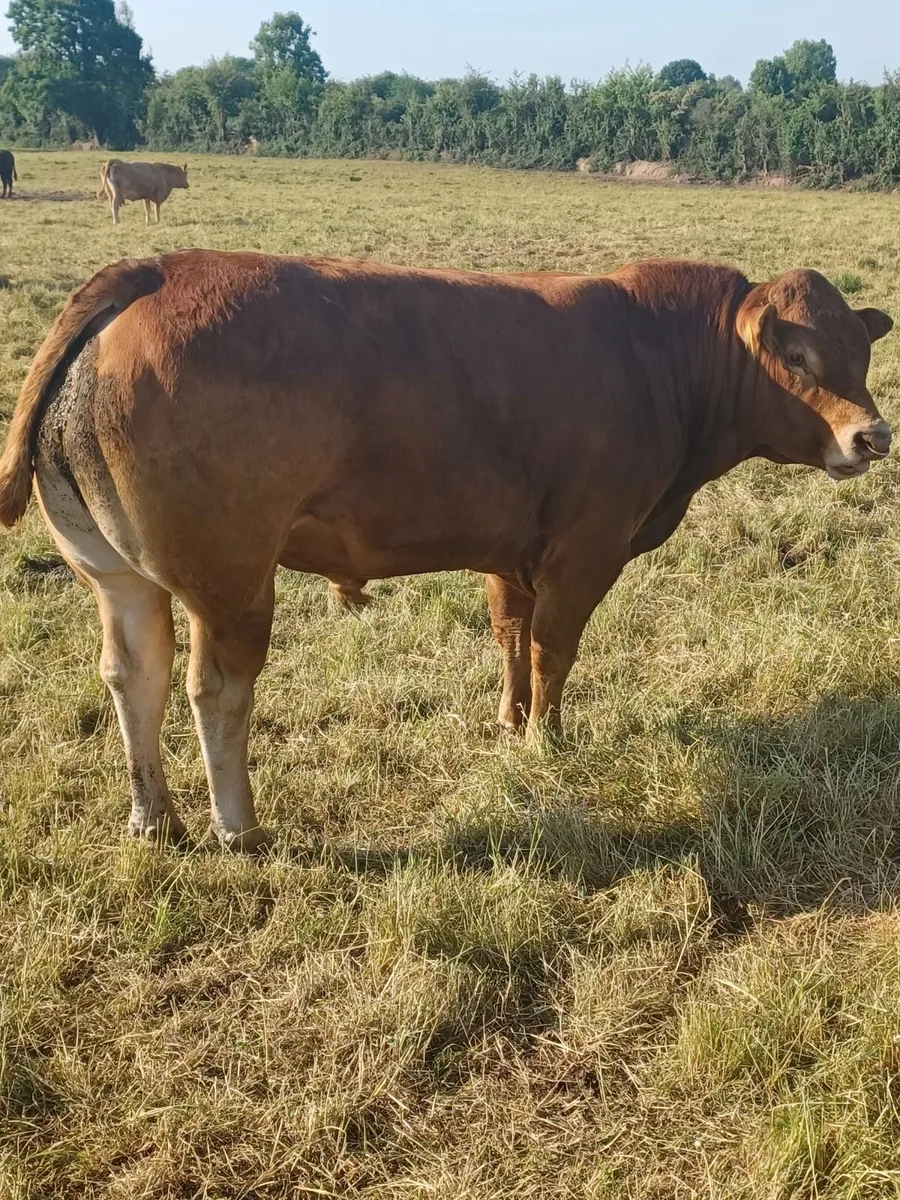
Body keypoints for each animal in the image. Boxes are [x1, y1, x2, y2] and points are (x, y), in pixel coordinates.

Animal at [0, 251, 892, 852]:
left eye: (862, 350)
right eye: (797, 355)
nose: (873, 435)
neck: (655, 353)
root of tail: (156, 268)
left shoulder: (512, 547)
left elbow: (510, 636)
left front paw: (510, 720)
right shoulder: (587, 546)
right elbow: (554, 648)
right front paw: (547, 739)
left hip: (117, 576)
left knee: (134, 678)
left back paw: (155, 817)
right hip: (232, 583)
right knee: (213, 691)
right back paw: (238, 827)